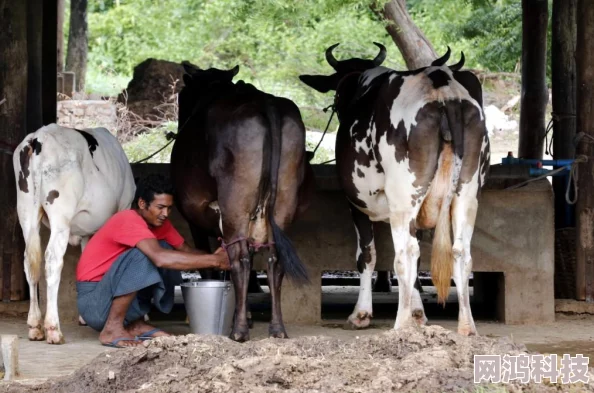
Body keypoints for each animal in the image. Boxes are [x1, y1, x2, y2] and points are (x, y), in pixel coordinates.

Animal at [12, 123, 135, 344]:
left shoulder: (87, 231)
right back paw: (53, 329)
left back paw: (35, 326)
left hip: (26, 210)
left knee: (29, 262)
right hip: (61, 215)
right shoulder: (125, 206)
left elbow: (87, 262)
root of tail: (38, 137)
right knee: (52, 260)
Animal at [169, 62, 312, 342]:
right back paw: (277, 328)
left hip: (235, 204)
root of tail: (265, 101)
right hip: (282, 203)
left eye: (182, 94)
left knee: (240, 259)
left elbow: (210, 264)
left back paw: (239, 331)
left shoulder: (195, 218)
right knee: (275, 260)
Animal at [298, 45, 488, 334]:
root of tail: (443, 92)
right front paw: (419, 313)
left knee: (405, 253)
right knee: (460, 252)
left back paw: (401, 324)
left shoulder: (357, 204)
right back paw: (466, 327)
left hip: (403, 197)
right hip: (465, 195)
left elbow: (366, 255)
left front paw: (362, 313)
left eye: (338, 91)